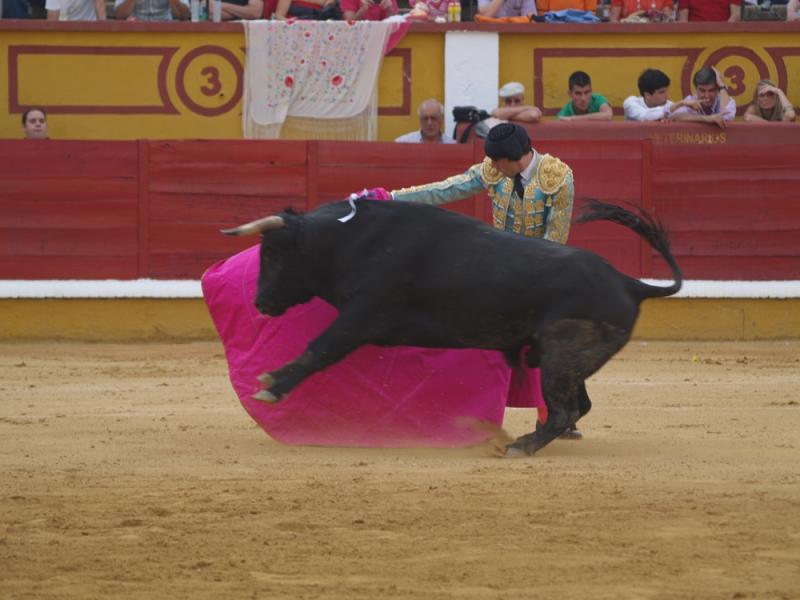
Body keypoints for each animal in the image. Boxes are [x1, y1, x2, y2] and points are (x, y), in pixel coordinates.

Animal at [222, 199, 684, 458]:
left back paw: (519, 446)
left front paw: (271, 386)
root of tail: (630, 282)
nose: (260, 302)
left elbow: (320, 348)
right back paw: (526, 437)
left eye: (274, 254)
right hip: (568, 360)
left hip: (562, 354)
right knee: (577, 406)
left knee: (565, 409)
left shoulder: (362, 315)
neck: (348, 240)